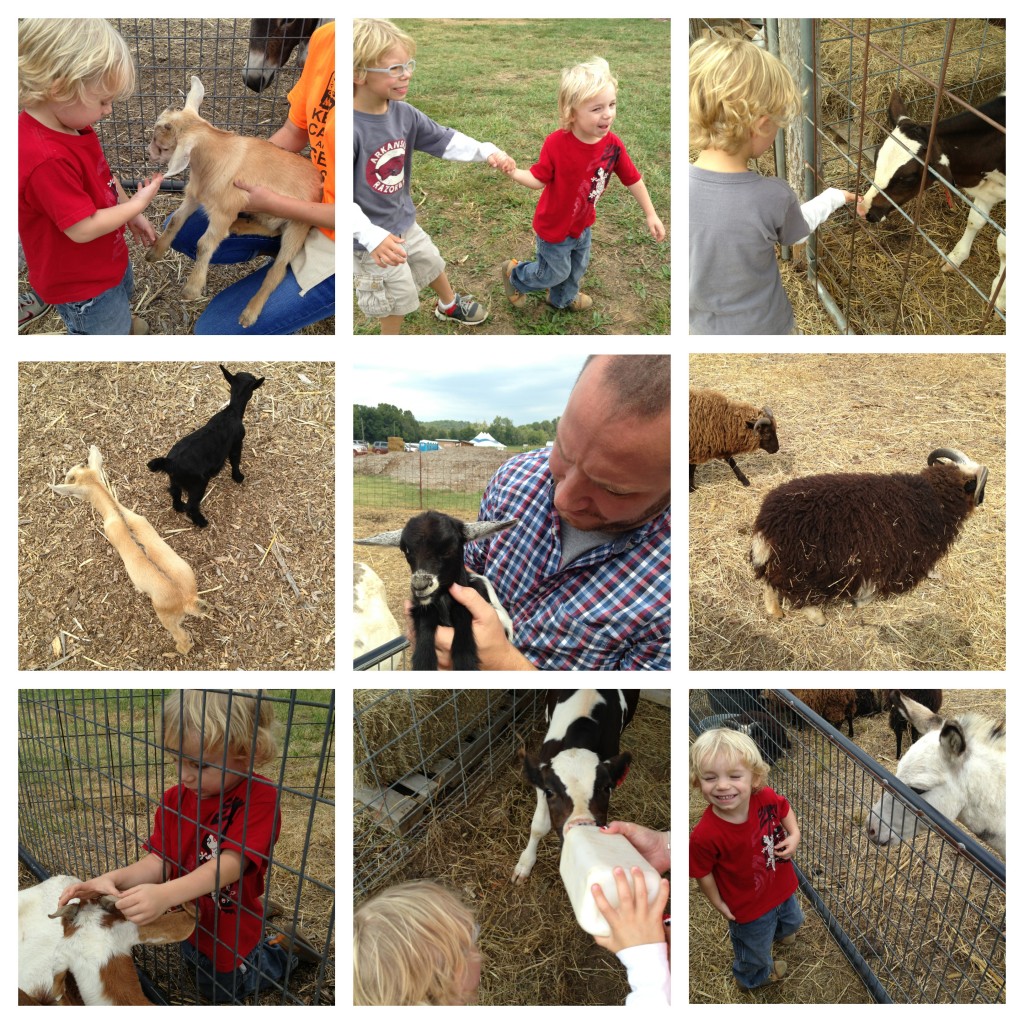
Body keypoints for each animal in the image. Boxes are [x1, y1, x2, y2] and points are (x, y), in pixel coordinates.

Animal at [149, 364, 268, 528]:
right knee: (192, 505)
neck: (231, 411)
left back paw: (179, 507)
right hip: (198, 484)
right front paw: (238, 477)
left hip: (175, 480)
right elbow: (235, 460)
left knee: (174, 492)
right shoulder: (237, 443)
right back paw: (201, 521)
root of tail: (169, 462)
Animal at [358, 512, 520, 671]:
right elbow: (426, 618)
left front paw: (465, 660)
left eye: (449, 550)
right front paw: (424, 661)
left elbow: (462, 613)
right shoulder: (421, 606)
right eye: (406, 550)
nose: (420, 585)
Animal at [512, 692, 638, 884]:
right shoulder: (541, 781)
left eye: (606, 788)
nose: (582, 824)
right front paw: (525, 864)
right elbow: (538, 826)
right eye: (550, 792)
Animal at [860, 90, 1003, 309]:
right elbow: (975, 220)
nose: (863, 209)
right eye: (876, 159)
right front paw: (956, 257)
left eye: (908, 178)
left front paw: (1001, 296)